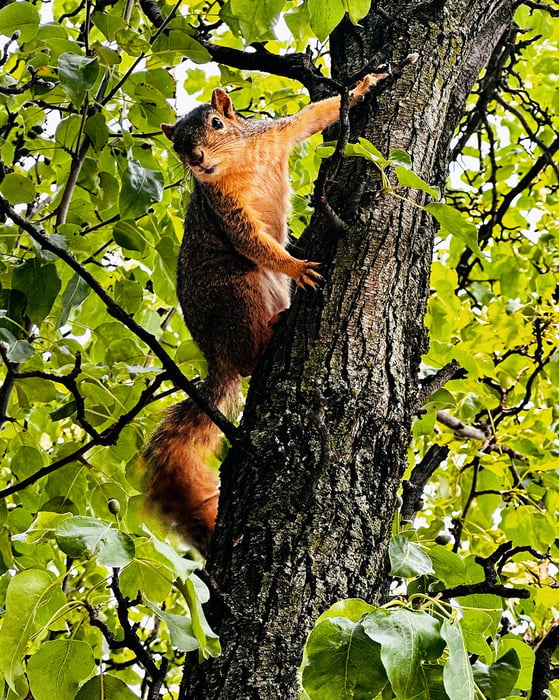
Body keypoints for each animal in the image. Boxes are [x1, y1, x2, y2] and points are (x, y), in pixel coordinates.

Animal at [144, 72, 388, 554]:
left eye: (217, 123)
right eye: (177, 146)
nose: (196, 159)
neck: (237, 162)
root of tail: (216, 356)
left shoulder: (275, 136)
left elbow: (315, 116)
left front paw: (365, 85)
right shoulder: (225, 208)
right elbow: (253, 241)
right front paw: (297, 266)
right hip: (241, 293)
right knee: (247, 358)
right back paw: (269, 335)